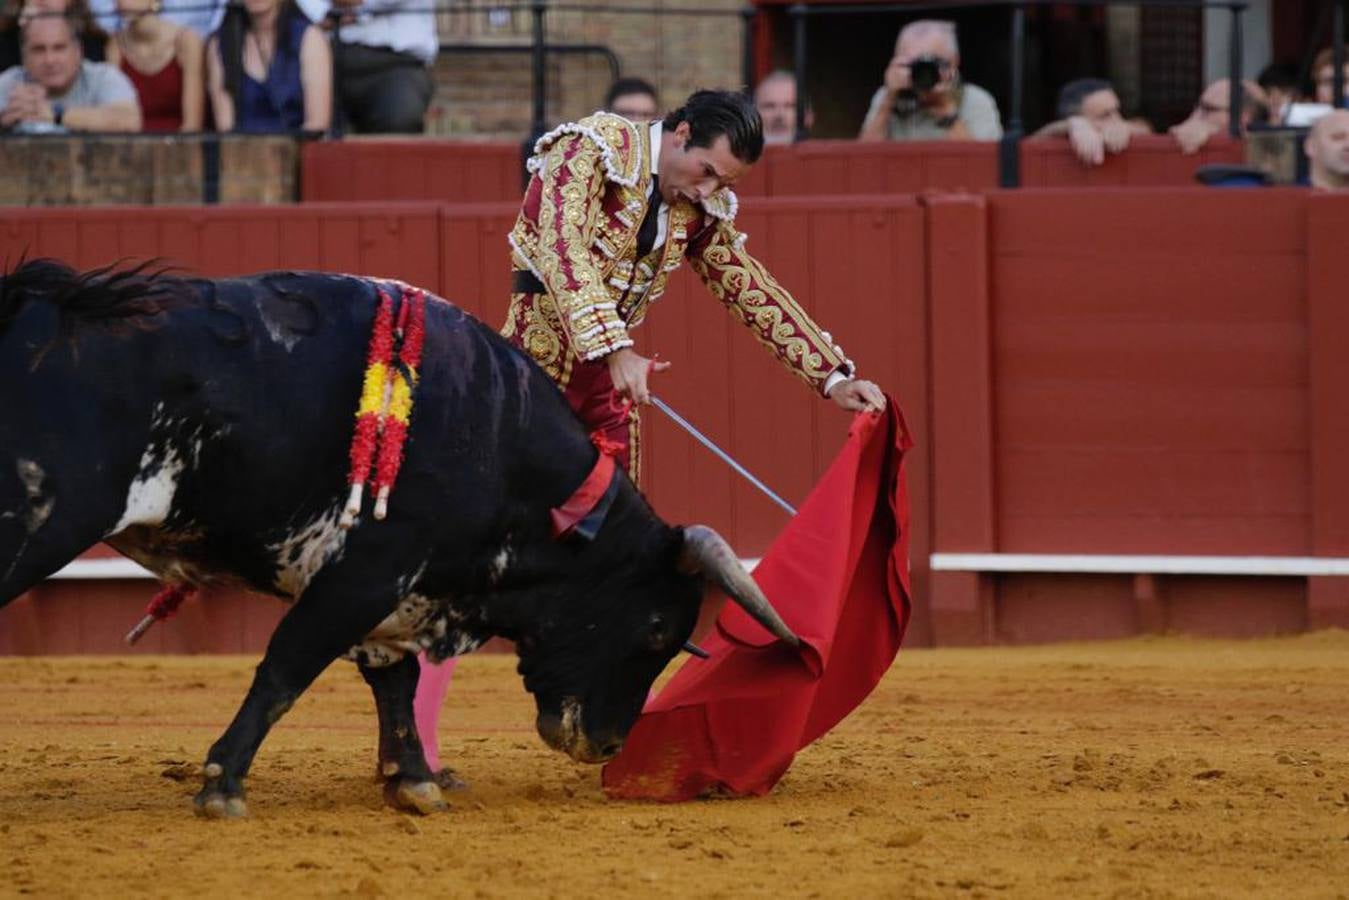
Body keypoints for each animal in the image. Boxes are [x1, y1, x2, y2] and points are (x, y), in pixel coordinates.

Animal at [0, 260, 793, 814]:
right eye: (656, 628)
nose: (604, 746)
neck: (498, 440)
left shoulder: (395, 592)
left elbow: (394, 682)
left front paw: (412, 783)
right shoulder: (366, 573)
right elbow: (288, 668)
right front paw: (223, 786)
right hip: (35, 527)